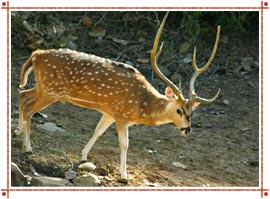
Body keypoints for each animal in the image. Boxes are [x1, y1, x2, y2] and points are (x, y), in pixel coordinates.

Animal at [15, 12, 220, 182]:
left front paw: (83, 156)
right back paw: (28, 146)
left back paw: (18, 132)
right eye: (178, 110)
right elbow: (124, 144)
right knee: (29, 107)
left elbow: (97, 131)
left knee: (22, 94)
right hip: (51, 90)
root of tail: (36, 54)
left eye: (191, 112)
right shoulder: (122, 115)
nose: (187, 130)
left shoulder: (109, 112)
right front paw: (124, 175)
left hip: (43, 87)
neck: (142, 106)